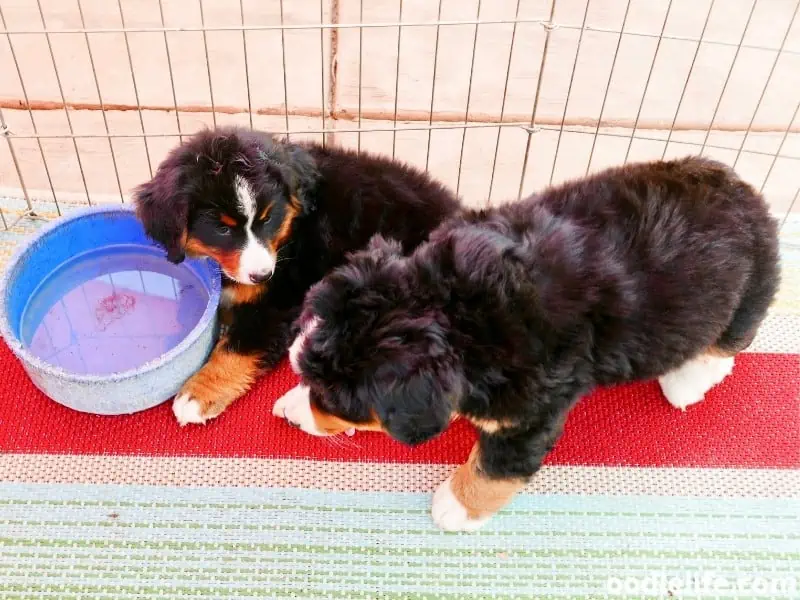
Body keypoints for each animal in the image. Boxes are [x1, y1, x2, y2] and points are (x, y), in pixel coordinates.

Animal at [134, 126, 460, 426]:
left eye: (267, 218)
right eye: (223, 229)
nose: (262, 275)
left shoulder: (278, 300)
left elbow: (236, 347)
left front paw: (197, 394)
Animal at [274, 157, 780, 532]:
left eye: (338, 401)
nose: (300, 413)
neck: (456, 306)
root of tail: (744, 187)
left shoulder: (529, 412)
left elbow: (498, 465)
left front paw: (456, 505)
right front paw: (295, 402)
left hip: (750, 289)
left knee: (730, 338)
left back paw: (689, 380)